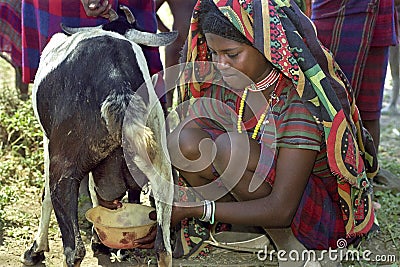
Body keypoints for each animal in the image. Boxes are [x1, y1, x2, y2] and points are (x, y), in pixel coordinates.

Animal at [19, 6, 177, 267]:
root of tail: (118, 87)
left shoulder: (48, 141)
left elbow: (46, 196)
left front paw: (36, 250)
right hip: (160, 166)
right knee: (163, 248)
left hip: (63, 167)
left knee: (74, 249)